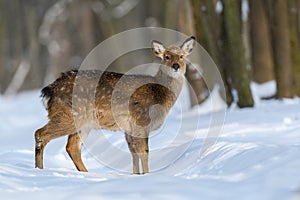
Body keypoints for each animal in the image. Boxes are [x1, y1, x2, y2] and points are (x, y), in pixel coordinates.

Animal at [34, 36, 196, 173]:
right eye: (166, 56)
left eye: (181, 56)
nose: (176, 65)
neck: (158, 94)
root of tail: (49, 90)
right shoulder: (141, 120)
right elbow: (144, 152)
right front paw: (147, 175)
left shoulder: (129, 128)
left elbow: (133, 153)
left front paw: (136, 175)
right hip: (69, 114)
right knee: (41, 134)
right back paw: (39, 170)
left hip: (82, 122)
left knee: (72, 147)